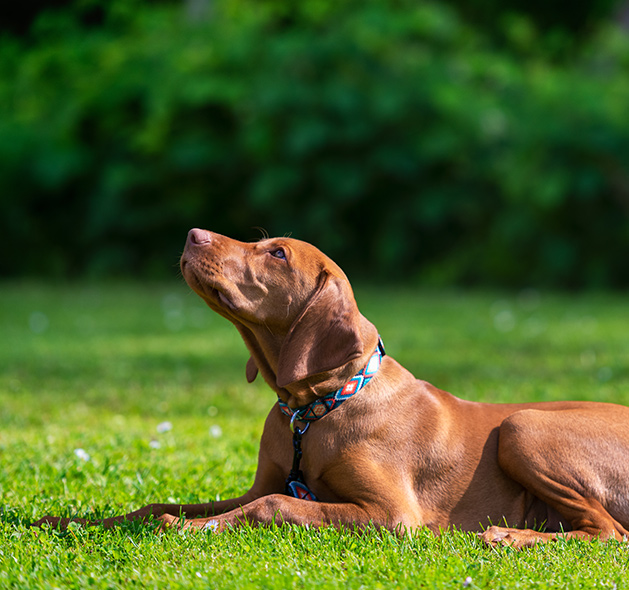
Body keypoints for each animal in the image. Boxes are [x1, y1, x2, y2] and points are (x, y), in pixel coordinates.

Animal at [34, 229, 628, 548]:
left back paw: (511, 537)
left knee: (608, 531)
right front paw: (67, 521)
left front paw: (191, 529)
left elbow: (274, 505)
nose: (192, 235)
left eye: (277, 254)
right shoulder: (260, 481)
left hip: (521, 426)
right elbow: (164, 501)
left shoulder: (393, 516)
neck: (315, 407)